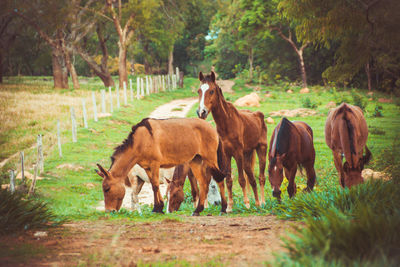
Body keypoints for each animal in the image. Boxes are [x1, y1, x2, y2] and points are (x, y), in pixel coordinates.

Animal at [94, 118, 228, 217]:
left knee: (219, 179)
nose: (109, 210)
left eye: (106, 189)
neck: (141, 139)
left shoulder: (155, 165)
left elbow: (155, 186)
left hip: (210, 159)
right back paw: (197, 210)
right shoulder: (148, 168)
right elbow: (155, 186)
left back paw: (223, 208)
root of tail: (212, 129)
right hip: (195, 161)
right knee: (203, 183)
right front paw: (158, 208)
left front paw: (157, 208)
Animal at [195, 71, 268, 211]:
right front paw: (229, 206)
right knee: (252, 179)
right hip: (247, 156)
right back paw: (257, 203)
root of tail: (259, 115)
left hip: (261, 149)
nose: (201, 112)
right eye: (199, 91)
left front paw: (246, 203)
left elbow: (241, 179)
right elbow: (229, 180)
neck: (227, 123)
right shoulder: (226, 154)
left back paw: (262, 202)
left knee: (261, 177)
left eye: (211, 91)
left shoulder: (238, 153)